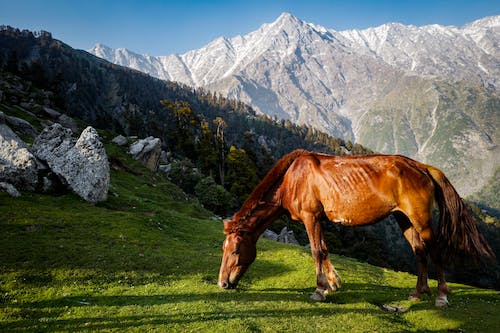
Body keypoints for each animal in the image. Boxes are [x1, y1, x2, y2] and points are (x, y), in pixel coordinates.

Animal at [219, 148, 496, 306]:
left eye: (234, 251)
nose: (223, 284)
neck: (293, 178)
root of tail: (422, 168)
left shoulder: (311, 217)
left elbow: (316, 251)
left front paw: (319, 290)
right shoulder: (318, 219)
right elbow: (325, 250)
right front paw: (332, 284)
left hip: (421, 219)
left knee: (435, 250)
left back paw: (441, 296)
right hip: (404, 219)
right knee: (419, 251)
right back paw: (418, 293)